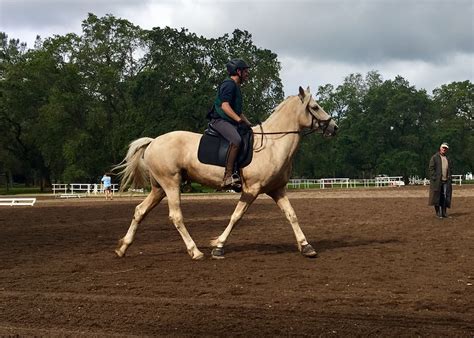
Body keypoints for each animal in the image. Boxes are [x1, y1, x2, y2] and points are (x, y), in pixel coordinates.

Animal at [115, 86, 336, 258]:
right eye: (315, 107)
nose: (334, 127)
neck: (273, 144)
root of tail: (153, 141)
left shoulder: (277, 189)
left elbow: (292, 215)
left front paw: (306, 246)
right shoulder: (251, 190)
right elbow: (236, 216)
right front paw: (218, 246)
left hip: (159, 188)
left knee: (140, 211)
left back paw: (123, 248)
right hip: (171, 184)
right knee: (176, 216)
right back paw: (195, 251)